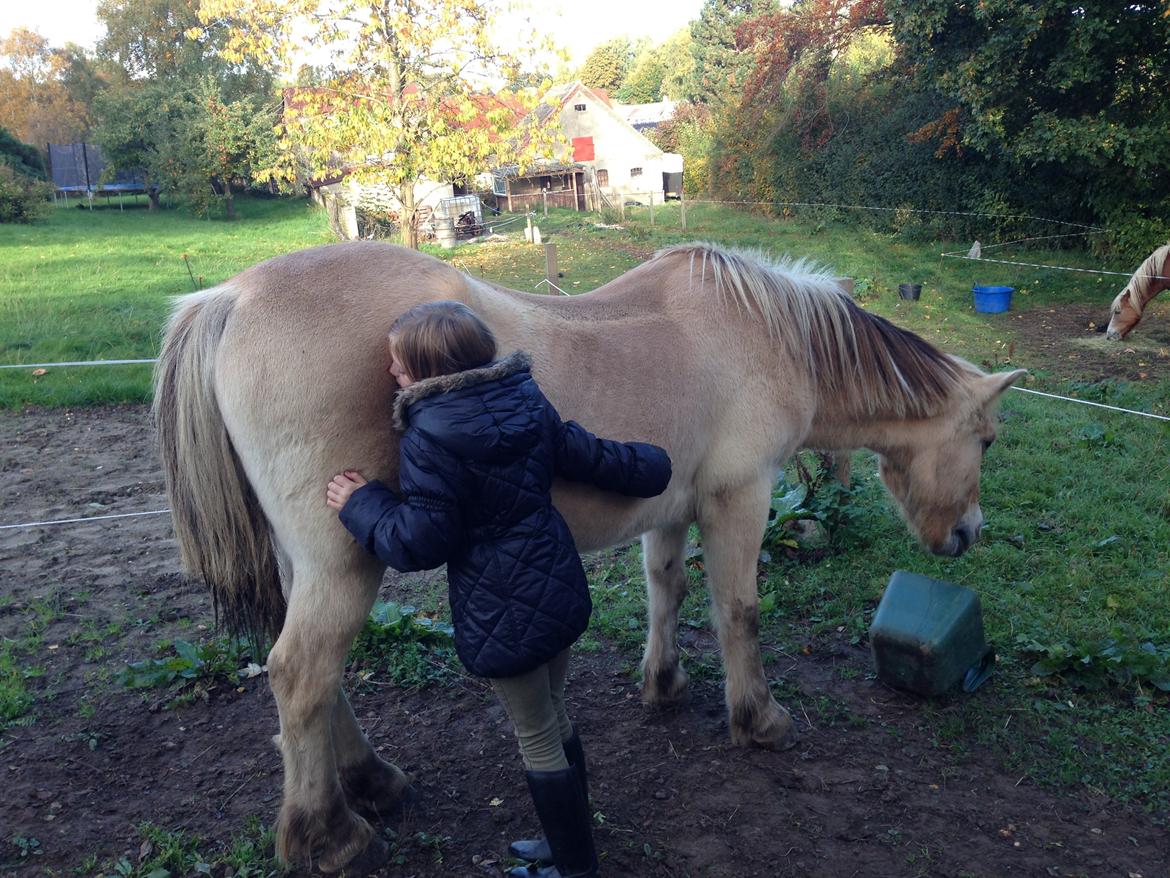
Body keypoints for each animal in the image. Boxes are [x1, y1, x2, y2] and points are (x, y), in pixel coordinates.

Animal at [155, 242, 1024, 875]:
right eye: (985, 440)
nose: (967, 535)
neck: (768, 337)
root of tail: (231, 299)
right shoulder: (739, 498)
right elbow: (737, 611)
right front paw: (759, 720)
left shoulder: (669, 509)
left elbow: (666, 591)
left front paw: (663, 685)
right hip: (342, 564)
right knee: (301, 673)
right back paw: (326, 835)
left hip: (316, 564)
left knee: (317, 677)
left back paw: (374, 784)